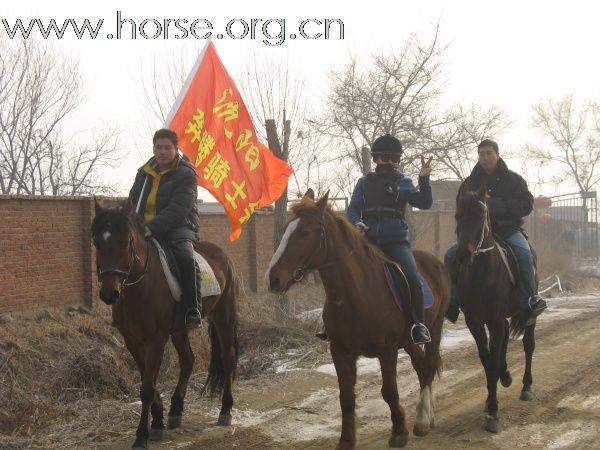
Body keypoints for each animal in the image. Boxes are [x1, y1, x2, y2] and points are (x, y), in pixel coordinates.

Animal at [90, 200, 238, 450]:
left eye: (125, 242)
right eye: (97, 242)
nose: (109, 293)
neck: (139, 286)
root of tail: (223, 255)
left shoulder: (156, 340)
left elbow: (147, 388)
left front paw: (142, 436)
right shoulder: (133, 341)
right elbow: (148, 382)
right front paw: (158, 420)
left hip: (223, 317)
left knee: (227, 358)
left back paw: (225, 410)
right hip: (179, 330)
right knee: (188, 360)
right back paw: (176, 410)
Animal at [264, 191, 448, 450]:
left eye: (305, 232)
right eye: (286, 230)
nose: (273, 279)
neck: (357, 294)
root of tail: (435, 261)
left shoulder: (387, 351)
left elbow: (389, 391)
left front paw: (399, 432)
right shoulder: (340, 351)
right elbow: (346, 397)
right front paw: (346, 441)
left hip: (435, 328)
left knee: (429, 365)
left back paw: (422, 420)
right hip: (409, 341)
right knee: (421, 367)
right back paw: (427, 416)